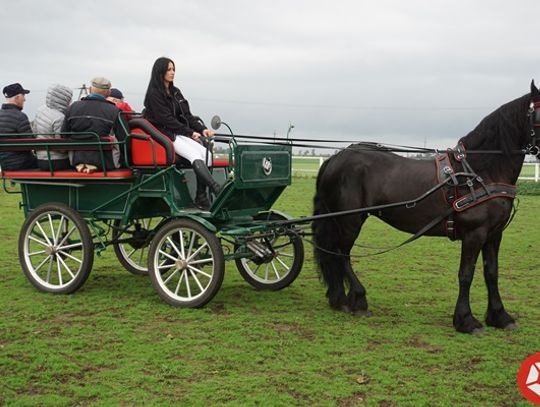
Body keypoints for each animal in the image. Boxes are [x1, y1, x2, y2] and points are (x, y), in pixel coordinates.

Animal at [312, 80, 540, 334]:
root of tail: (336, 158)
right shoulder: (474, 233)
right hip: (349, 219)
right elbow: (466, 274)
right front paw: (466, 320)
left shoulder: (494, 233)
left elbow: (492, 272)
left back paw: (340, 299)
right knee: (341, 254)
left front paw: (500, 316)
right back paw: (358, 299)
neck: (481, 171)